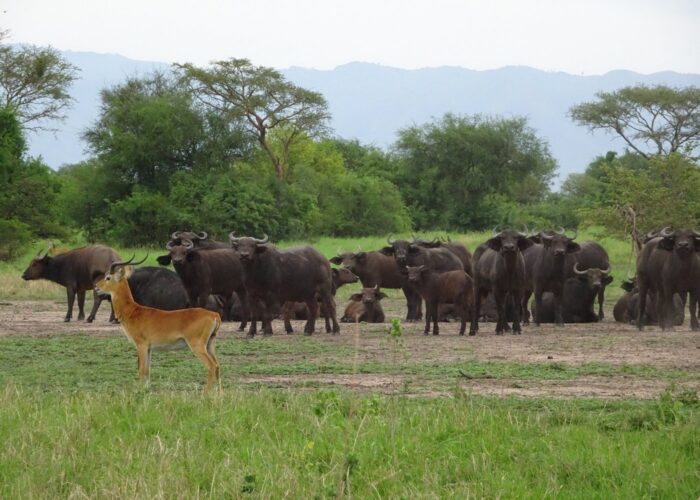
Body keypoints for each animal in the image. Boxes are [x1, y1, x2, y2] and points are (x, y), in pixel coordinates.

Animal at [95, 254, 220, 390]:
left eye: (108, 277)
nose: (96, 287)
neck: (133, 311)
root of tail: (213, 314)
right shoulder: (149, 348)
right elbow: (147, 371)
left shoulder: (141, 345)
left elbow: (141, 370)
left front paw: (139, 391)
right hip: (210, 345)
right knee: (217, 366)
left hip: (197, 346)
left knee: (211, 366)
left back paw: (205, 393)